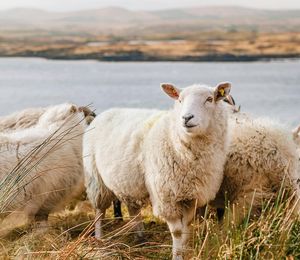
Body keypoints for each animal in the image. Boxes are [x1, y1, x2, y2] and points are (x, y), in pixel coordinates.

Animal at [83, 82, 233, 258]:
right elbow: (177, 232)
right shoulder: (166, 197)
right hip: (95, 178)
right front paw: (177, 255)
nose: (186, 118)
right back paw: (99, 239)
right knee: (99, 211)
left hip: (127, 182)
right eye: (179, 100)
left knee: (133, 208)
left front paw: (185, 250)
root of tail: (103, 113)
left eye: (209, 99)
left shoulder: (191, 196)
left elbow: (187, 227)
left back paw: (140, 237)